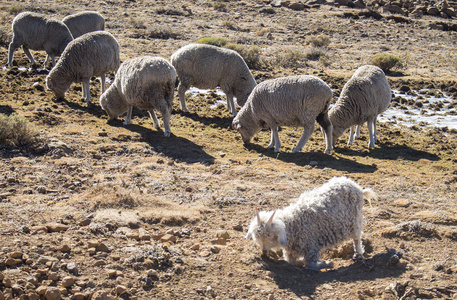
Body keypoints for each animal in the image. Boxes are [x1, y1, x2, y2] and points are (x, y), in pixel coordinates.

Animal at [246, 177, 374, 270]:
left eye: (271, 236)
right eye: (256, 237)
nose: (263, 252)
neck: (294, 224)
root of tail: (357, 187)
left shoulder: (311, 246)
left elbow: (310, 264)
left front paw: (327, 263)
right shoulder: (292, 251)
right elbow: (291, 261)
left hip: (355, 220)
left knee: (357, 238)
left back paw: (358, 254)